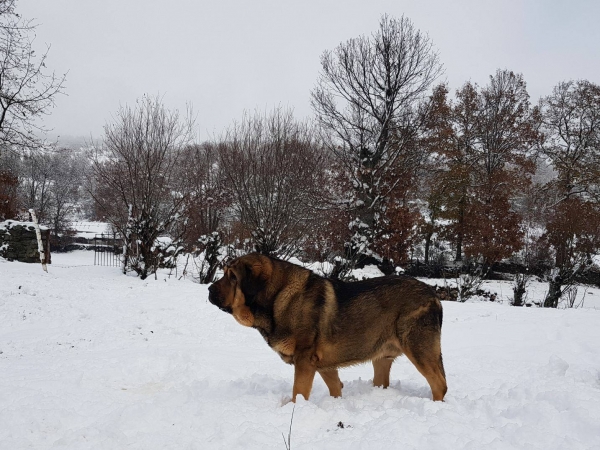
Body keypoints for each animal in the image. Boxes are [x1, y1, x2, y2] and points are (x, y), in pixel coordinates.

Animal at [206, 251, 446, 402]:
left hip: (419, 350)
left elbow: (299, 392)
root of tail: (434, 295)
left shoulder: (304, 359)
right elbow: (335, 387)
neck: (277, 298)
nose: (208, 289)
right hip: (382, 358)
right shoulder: (323, 364)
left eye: (232, 277)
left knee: (439, 384)